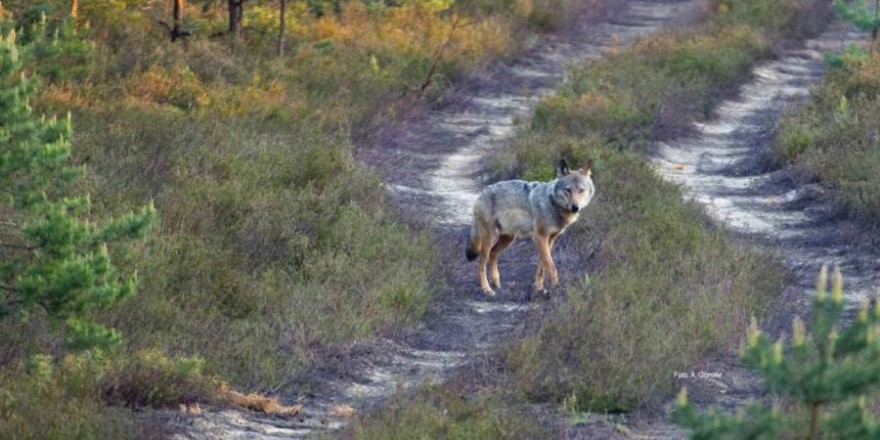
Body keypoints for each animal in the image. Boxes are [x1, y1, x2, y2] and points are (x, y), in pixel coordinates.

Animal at [464, 159, 596, 296]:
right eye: (568, 190)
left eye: (581, 190)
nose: (575, 207)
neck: (552, 203)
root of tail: (481, 193)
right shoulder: (539, 237)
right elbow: (551, 266)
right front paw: (556, 287)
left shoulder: (550, 239)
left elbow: (542, 266)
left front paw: (539, 288)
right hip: (490, 239)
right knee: (481, 263)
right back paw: (486, 289)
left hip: (508, 239)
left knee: (493, 253)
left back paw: (496, 282)